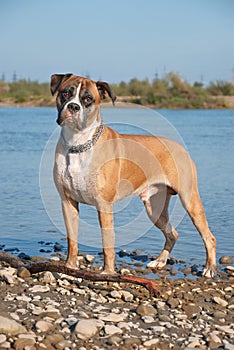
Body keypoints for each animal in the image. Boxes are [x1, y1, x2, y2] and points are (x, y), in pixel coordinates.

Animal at [49, 73, 216, 276]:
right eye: (65, 93)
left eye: (88, 99)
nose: (73, 107)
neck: (78, 144)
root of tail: (181, 148)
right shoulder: (68, 203)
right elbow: (72, 240)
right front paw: (70, 267)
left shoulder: (104, 205)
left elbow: (107, 243)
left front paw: (108, 273)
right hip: (155, 208)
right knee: (172, 233)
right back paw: (160, 261)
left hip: (190, 201)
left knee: (209, 237)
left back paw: (209, 269)